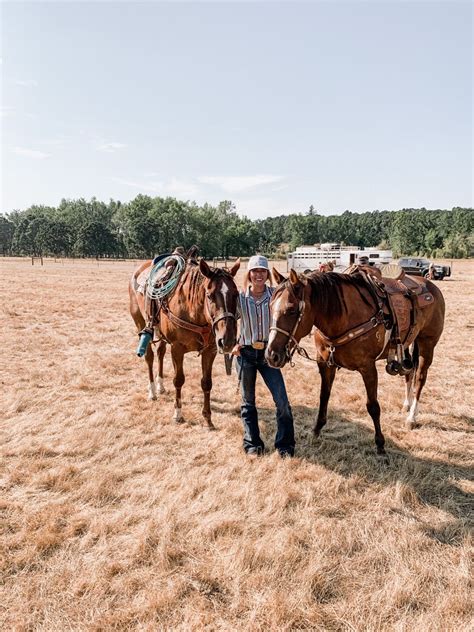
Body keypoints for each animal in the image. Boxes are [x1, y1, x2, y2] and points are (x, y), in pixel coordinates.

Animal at [130, 256, 241, 430]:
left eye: (236, 294)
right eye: (209, 295)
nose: (228, 340)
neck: (193, 311)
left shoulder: (210, 350)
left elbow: (206, 383)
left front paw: (208, 418)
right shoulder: (177, 349)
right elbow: (178, 380)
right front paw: (178, 414)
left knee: (160, 353)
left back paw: (160, 386)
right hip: (140, 323)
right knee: (149, 357)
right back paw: (153, 391)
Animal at [266, 270, 444, 456]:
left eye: (291, 310)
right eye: (270, 306)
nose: (272, 355)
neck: (343, 317)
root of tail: (428, 284)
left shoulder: (368, 368)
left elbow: (373, 406)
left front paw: (380, 444)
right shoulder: (325, 364)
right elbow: (324, 396)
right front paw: (316, 430)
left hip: (427, 344)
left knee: (420, 378)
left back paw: (411, 417)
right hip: (407, 344)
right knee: (409, 373)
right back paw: (407, 405)